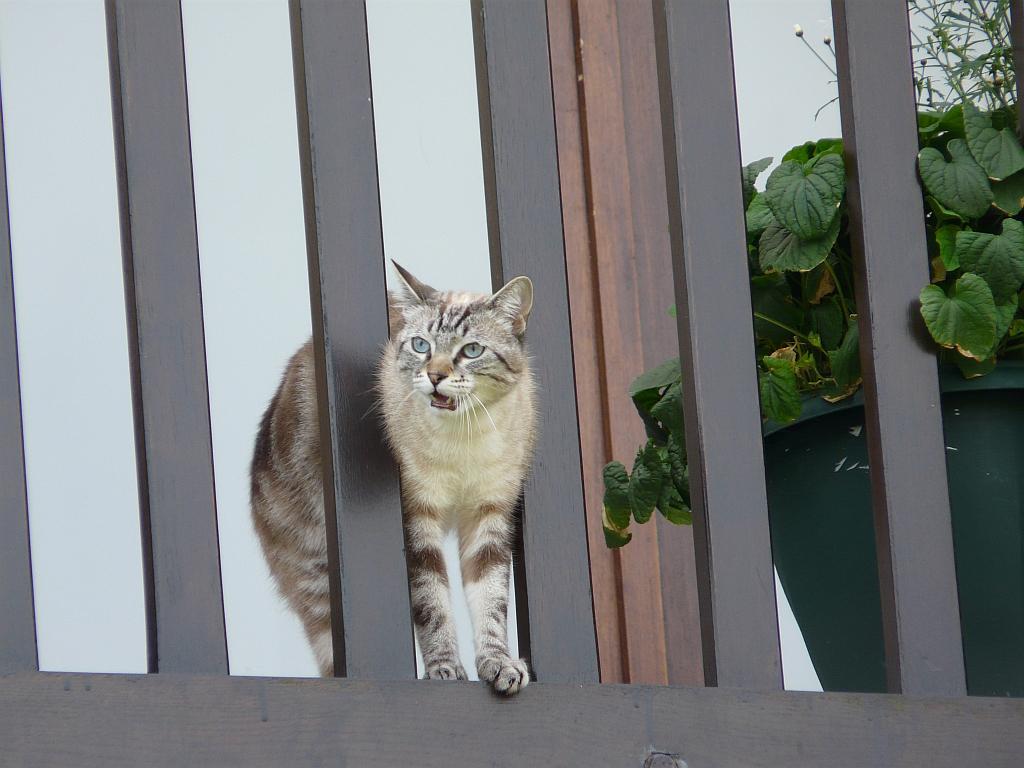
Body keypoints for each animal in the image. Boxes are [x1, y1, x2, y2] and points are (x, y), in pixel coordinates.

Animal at [249, 264, 536, 696]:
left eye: (471, 351)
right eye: (420, 345)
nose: (434, 376)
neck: (464, 439)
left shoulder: (489, 516)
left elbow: (491, 604)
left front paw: (499, 665)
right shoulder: (416, 519)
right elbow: (432, 605)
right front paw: (445, 670)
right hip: (317, 577)